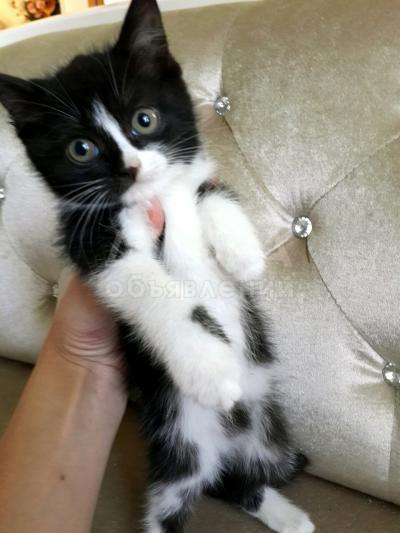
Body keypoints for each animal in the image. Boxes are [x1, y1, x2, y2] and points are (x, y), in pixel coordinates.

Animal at [0, 1, 314, 532]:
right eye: (81, 149)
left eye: (144, 120)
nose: (132, 168)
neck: (153, 200)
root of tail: (224, 446)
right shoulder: (92, 242)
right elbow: (152, 289)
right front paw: (209, 368)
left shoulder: (189, 186)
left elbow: (213, 193)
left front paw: (244, 257)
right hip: (178, 452)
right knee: (177, 504)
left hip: (272, 443)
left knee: (248, 480)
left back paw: (289, 516)